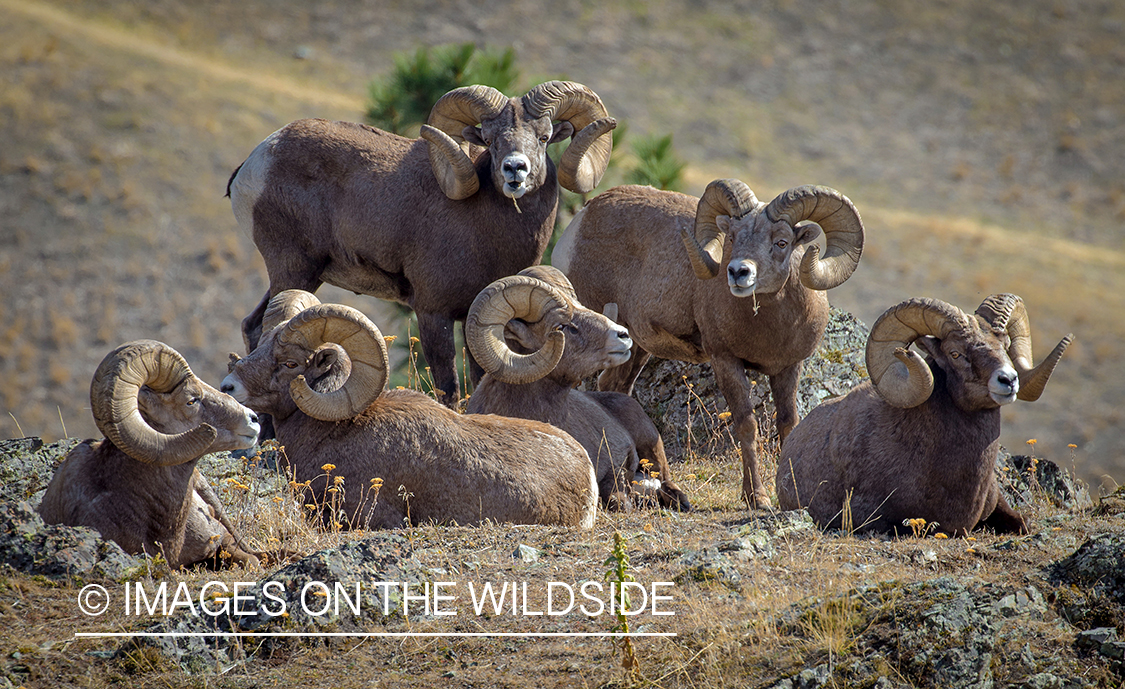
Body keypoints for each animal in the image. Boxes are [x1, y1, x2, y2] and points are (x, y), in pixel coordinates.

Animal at [228, 80, 616, 408]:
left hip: (304, 274)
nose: (514, 170)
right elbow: (448, 387)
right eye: (490, 139)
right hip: (294, 268)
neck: (484, 226)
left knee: (252, 324)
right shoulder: (433, 313)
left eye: (545, 136)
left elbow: (480, 375)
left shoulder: (479, 317)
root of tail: (256, 161)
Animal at [553, 179, 864, 508]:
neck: (771, 326)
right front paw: (757, 498)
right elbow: (747, 425)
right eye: (732, 237)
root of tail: (582, 218)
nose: (739, 272)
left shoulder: (789, 367)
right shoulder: (725, 361)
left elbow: (788, 424)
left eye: (782, 242)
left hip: (635, 348)